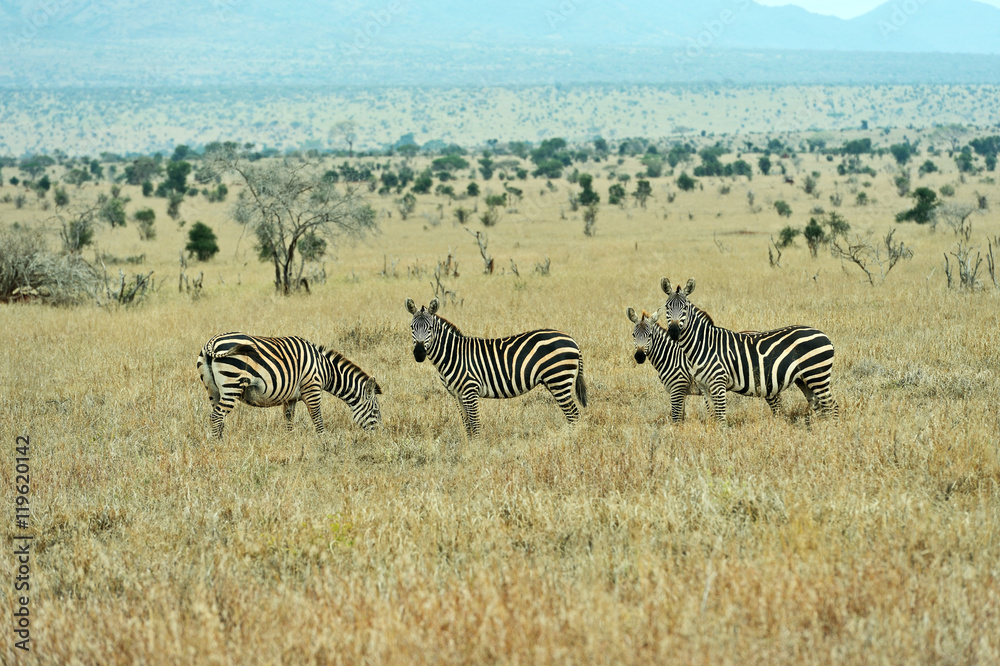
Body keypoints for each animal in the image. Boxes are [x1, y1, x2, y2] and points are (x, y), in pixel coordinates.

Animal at [197, 332, 382, 438]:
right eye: (375, 411)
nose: (378, 438)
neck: (325, 369)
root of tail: (211, 342)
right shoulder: (312, 388)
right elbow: (317, 417)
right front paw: (324, 441)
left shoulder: (290, 398)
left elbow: (288, 419)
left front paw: (290, 440)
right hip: (232, 384)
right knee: (217, 416)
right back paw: (216, 445)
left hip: (213, 390)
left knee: (217, 416)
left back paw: (220, 440)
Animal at [405, 298, 587, 437]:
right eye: (412, 327)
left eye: (430, 328)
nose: (419, 353)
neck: (453, 354)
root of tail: (572, 340)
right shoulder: (457, 395)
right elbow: (467, 425)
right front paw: (469, 447)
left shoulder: (470, 391)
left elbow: (475, 424)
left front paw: (476, 450)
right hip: (554, 382)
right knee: (572, 415)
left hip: (558, 380)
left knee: (573, 415)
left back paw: (570, 442)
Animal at [659, 277, 839, 423]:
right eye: (667, 307)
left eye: (685, 308)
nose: (673, 332)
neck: (703, 345)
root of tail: (824, 335)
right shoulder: (705, 387)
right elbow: (712, 416)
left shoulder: (718, 382)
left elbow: (721, 418)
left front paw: (722, 440)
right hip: (804, 379)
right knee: (819, 406)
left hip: (817, 375)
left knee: (832, 405)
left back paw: (830, 430)